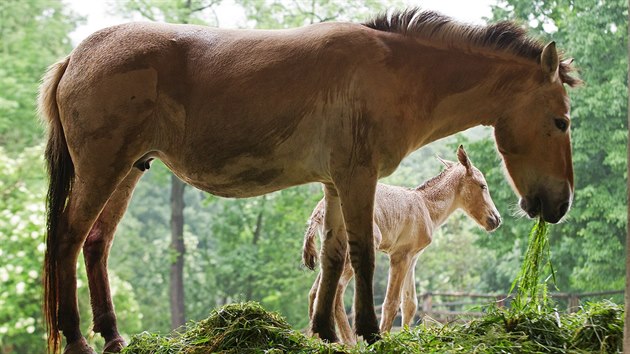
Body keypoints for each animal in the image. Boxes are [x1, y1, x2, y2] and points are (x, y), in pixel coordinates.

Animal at [304, 147, 502, 342]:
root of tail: (319, 211)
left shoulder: (412, 257)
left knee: (315, 291)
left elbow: (410, 303)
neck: (425, 205)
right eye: (483, 185)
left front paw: (407, 336)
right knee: (337, 290)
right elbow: (391, 302)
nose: (496, 219)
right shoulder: (400, 254)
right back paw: (349, 342)